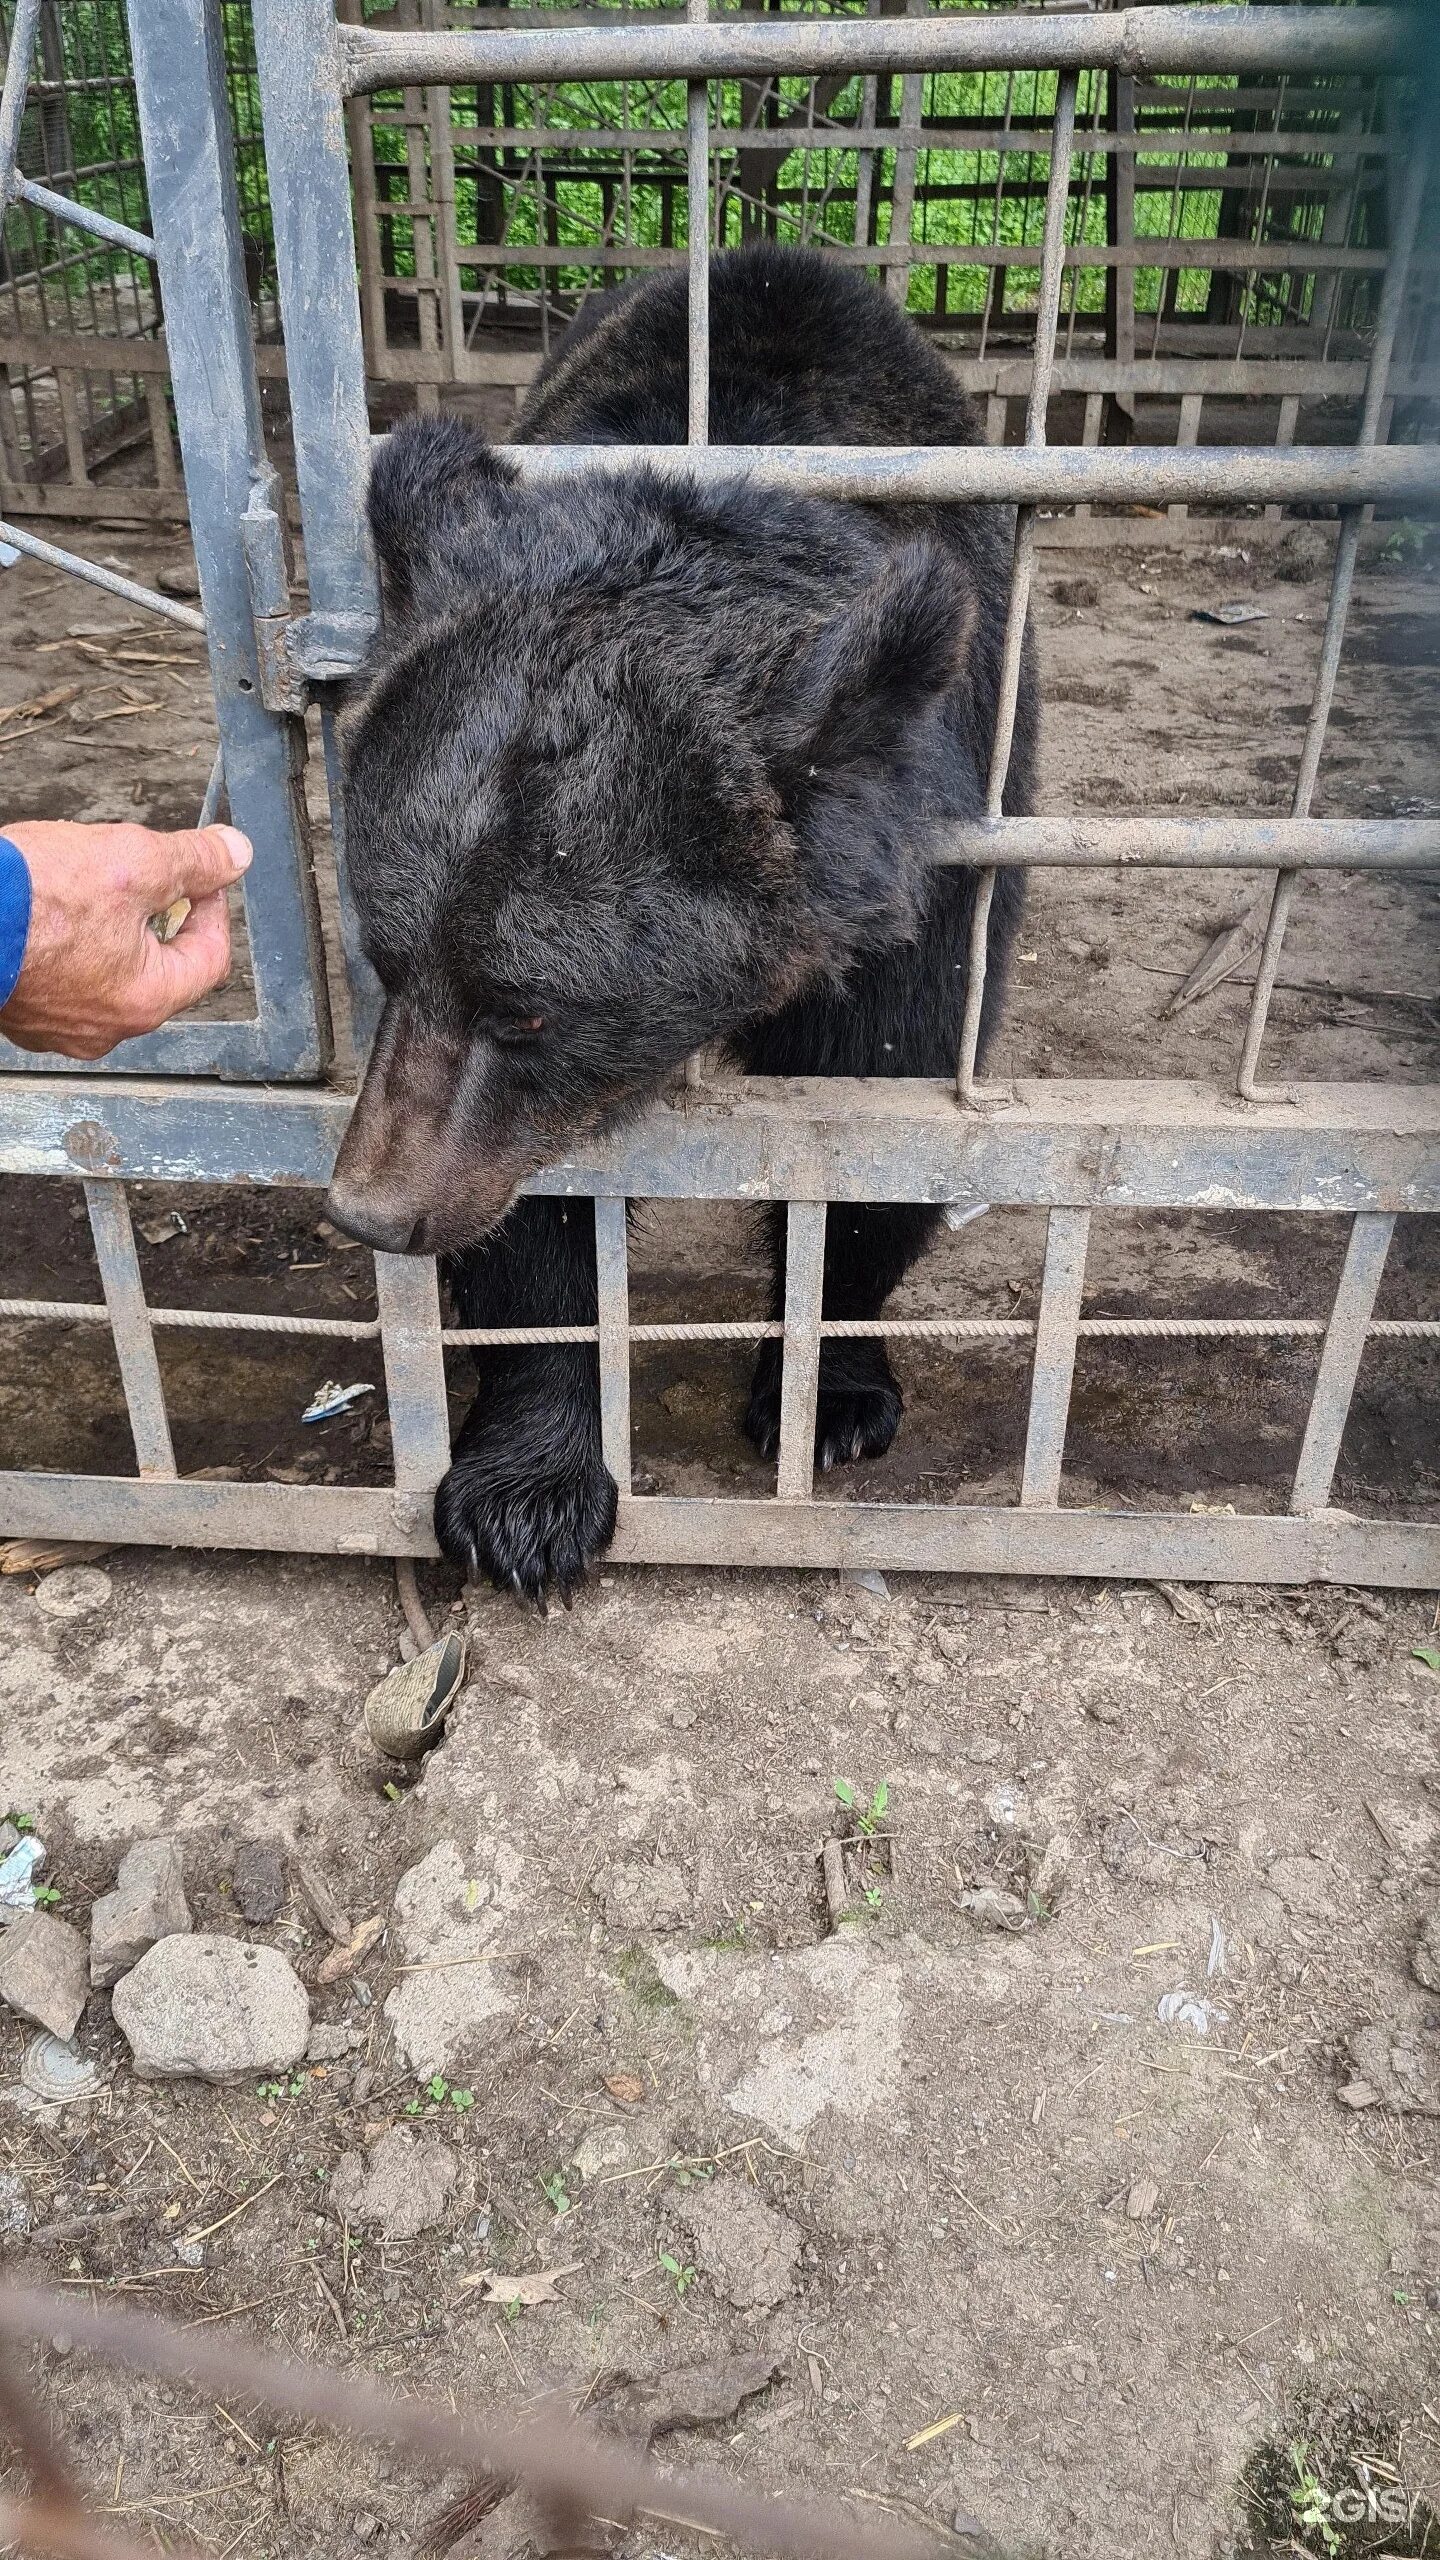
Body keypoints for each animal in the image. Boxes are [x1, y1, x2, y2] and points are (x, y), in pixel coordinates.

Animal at [326, 244, 1030, 1597]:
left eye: (527, 1008)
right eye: (384, 959)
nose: (369, 1208)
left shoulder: (927, 877)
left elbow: (882, 1119)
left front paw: (830, 1396)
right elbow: (537, 1211)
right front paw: (528, 1497)